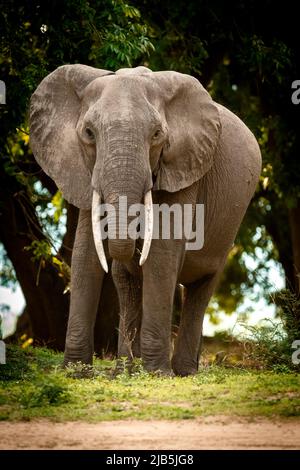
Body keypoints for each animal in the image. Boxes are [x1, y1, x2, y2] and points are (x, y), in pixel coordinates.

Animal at [29, 64, 262, 376]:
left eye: (157, 134)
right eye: (89, 133)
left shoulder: (183, 166)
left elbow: (161, 255)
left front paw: (157, 374)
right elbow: (85, 254)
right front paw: (75, 372)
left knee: (201, 287)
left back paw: (182, 371)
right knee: (127, 283)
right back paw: (125, 370)